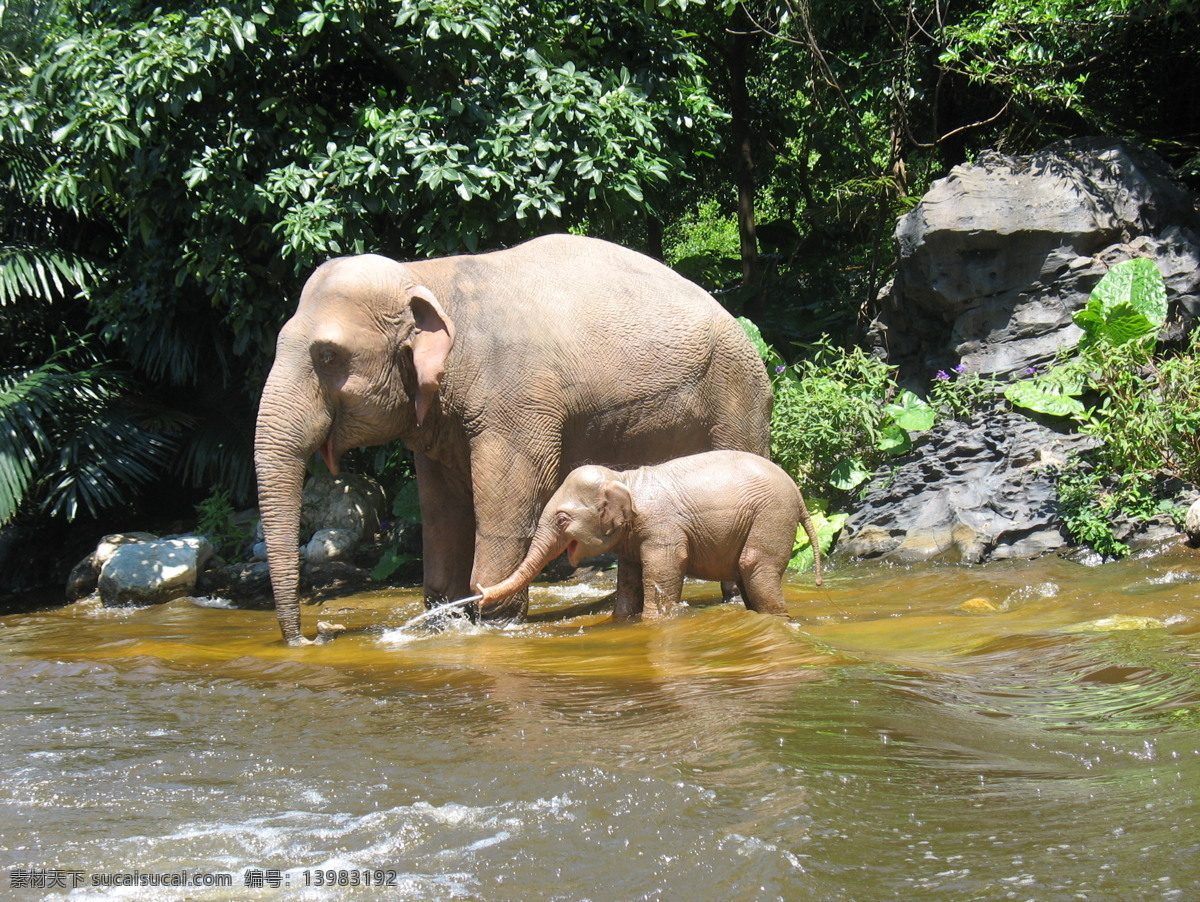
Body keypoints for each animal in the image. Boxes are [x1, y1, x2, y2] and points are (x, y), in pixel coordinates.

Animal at [254, 234, 773, 644]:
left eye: (328, 356)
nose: (314, 636)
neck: (425, 275)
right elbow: (441, 509)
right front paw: (446, 620)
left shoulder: (517, 402)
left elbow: (512, 498)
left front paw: (493, 621)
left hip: (738, 397)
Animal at [477, 450, 823, 621]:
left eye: (562, 520)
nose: (479, 594)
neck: (626, 479)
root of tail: (799, 493)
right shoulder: (631, 541)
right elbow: (629, 579)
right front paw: (621, 621)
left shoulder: (662, 530)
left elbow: (663, 571)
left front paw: (654, 622)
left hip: (772, 516)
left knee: (755, 567)